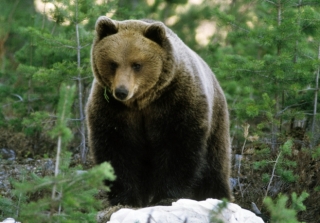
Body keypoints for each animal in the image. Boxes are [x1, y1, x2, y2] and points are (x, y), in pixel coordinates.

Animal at [86, 16, 231, 207]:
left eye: (136, 64)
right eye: (113, 63)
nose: (121, 91)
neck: (141, 102)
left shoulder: (175, 102)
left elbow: (178, 147)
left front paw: (166, 196)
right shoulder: (113, 108)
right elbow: (117, 147)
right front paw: (125, 197)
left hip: (217, 121)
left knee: (215, 165)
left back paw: (217, 196)